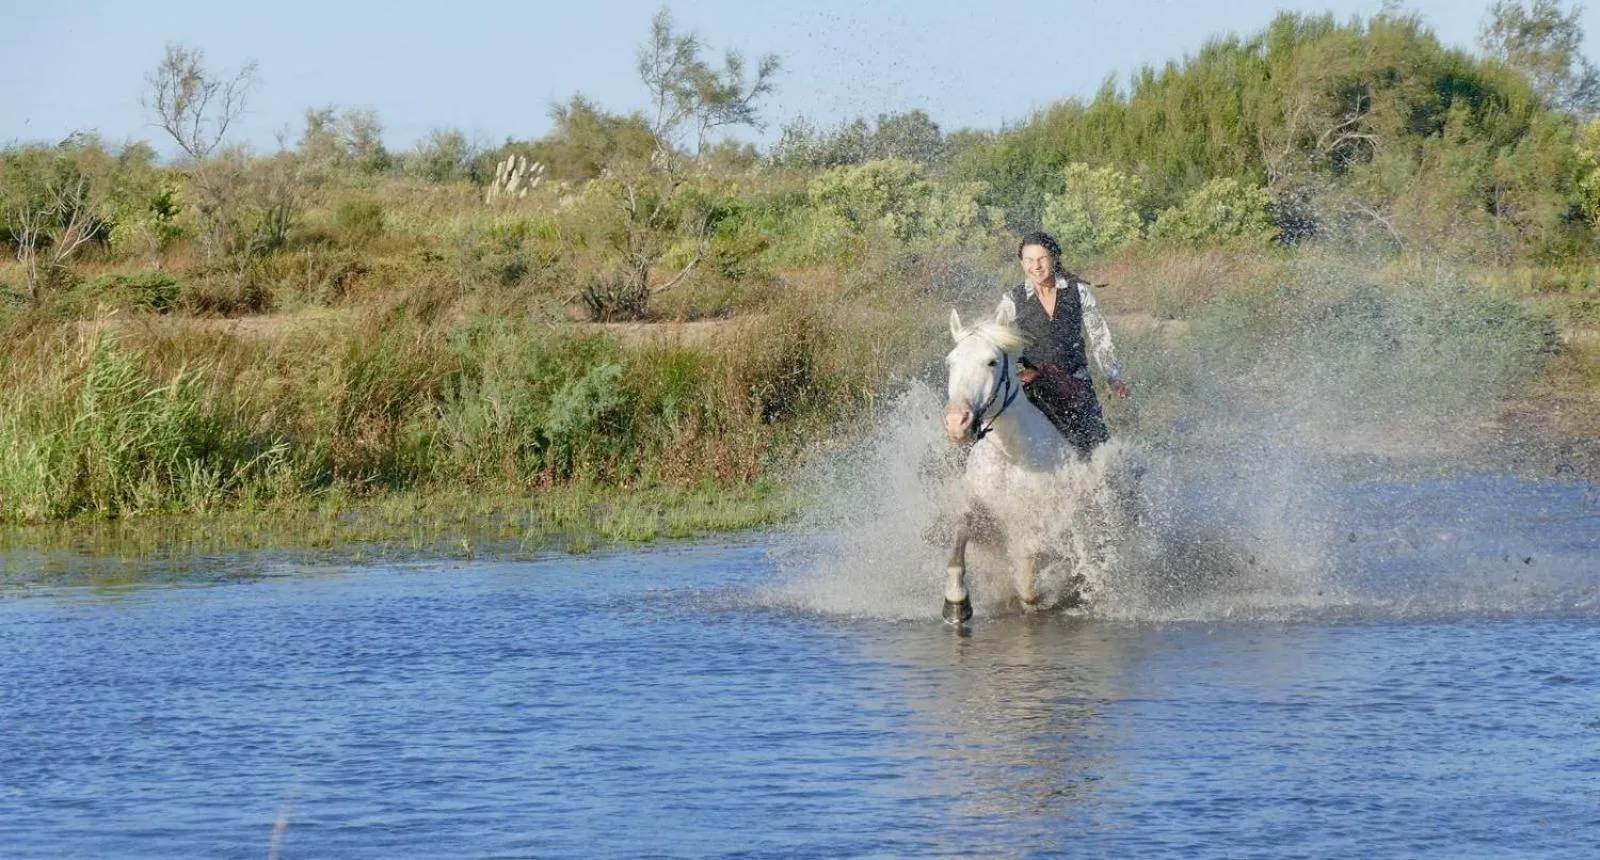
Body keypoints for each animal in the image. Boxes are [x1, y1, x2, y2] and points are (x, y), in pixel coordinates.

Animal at [940, 293, 1101, 623]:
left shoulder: (1044, 522)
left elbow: (1030, 577)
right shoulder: (981, 509)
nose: (956, 423)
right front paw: (956, 602)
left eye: (991, 361)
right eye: (951, 362)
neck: (1011, 454)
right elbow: (961, 531)